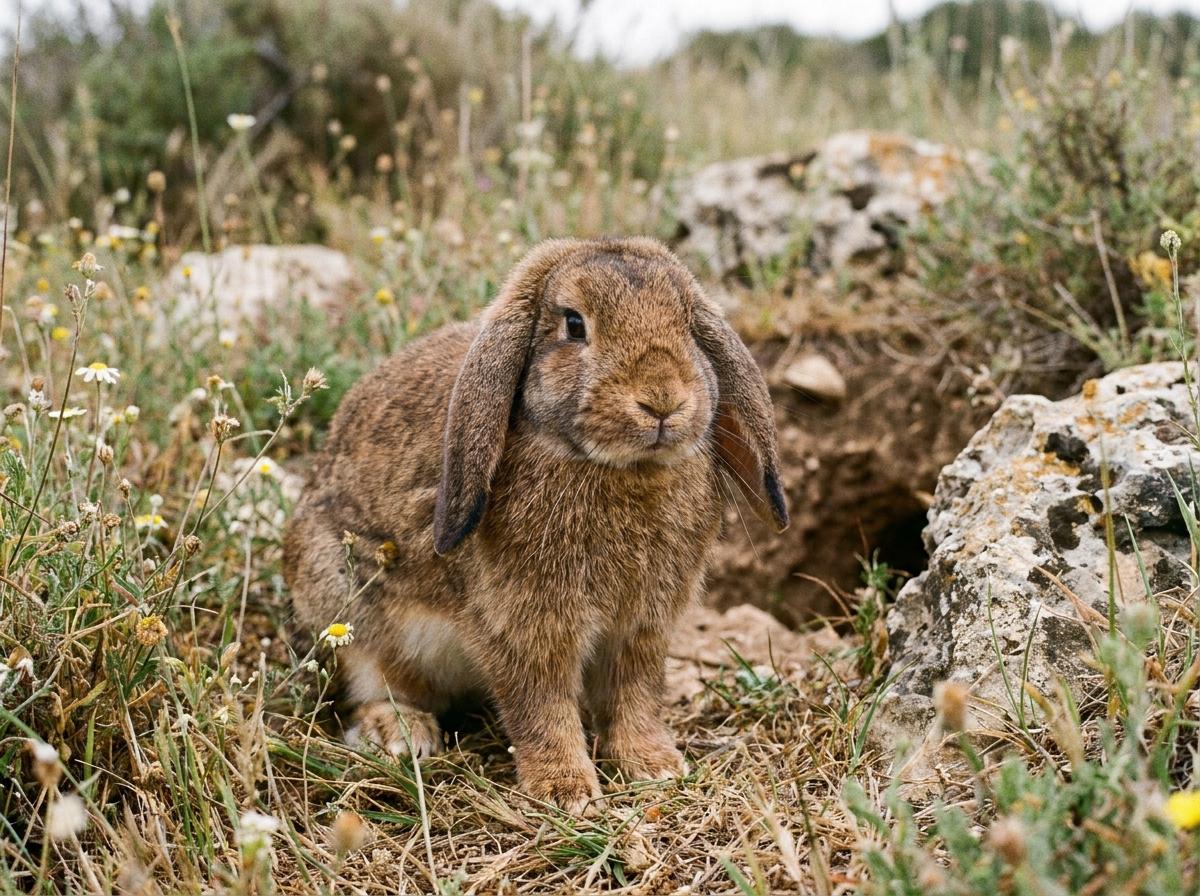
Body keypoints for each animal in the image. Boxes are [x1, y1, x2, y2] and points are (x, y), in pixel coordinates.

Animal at [283, 236, 788, 813]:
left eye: (687, 325)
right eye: (574, 324)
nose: (662, 400)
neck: (619, 467)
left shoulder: (642, 627)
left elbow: (634, 695)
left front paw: (654, 766)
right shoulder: (525, 627)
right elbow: (540, 706)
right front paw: (566, 790)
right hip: (342, 596)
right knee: (370, 677)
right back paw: (399, 733)